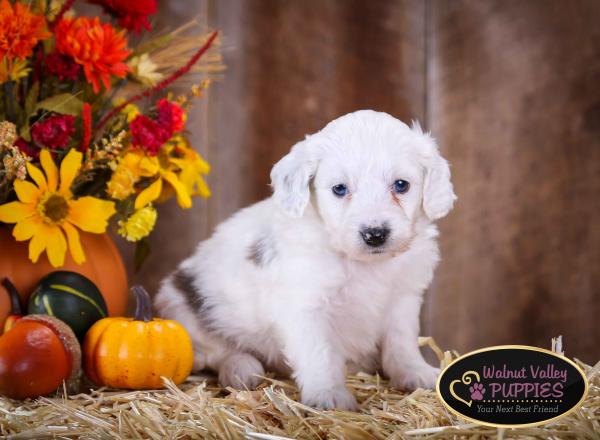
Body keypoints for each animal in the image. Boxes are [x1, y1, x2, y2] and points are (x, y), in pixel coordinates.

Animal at [155, 109, 454, 410]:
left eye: (401, 185)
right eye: (339, 189)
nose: (375, 234)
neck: (363, 263)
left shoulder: (403, 298)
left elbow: (402, 342)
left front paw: (415, 372)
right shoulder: (306, 306)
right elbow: (319, 353)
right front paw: (328, 394)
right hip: (184, 311)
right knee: (216, 352)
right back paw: (241, 368)